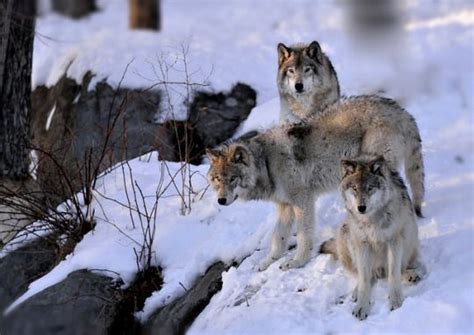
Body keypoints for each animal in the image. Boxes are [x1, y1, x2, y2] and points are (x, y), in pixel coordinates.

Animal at [207, 94, 426, 272]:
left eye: (232, 178)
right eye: (217, 179)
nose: (220, 200)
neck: (266, 163)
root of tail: (400, 111)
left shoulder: (302, 201)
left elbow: (304, 235)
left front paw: (297, 262)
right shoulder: (284, 207)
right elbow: (278, 238)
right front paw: (268, 261)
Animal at [318, 156, 426, 322]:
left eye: (370, 187)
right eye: (354, 188)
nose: (361, 208)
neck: (371, 219)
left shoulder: (394, 240)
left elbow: (394, 274)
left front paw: (396, 301)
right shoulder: (363, 243)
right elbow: (364, 278)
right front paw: (362, 306)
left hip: (409, 235)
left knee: (394, 270)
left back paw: (411, 275)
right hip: (345, 231)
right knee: (366, 275)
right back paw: (356, 292)